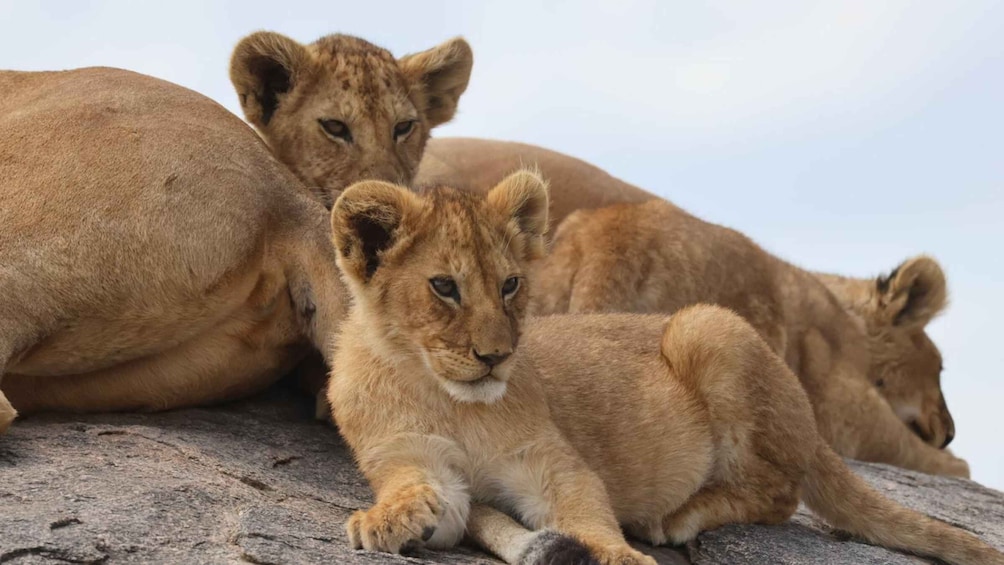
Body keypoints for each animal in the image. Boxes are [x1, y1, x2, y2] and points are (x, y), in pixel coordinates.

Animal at [324, 171, 1002, 565]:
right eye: (444, 287)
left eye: (511, 284)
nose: (496, 355)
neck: (440, 392)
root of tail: (809, 425)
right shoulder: (412, 458)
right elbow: (427, 496)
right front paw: (387, 521)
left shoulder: (547, 460)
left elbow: (585, 510)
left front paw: (618, 556)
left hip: (707, 327)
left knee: (780, 493)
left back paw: (676, 517)